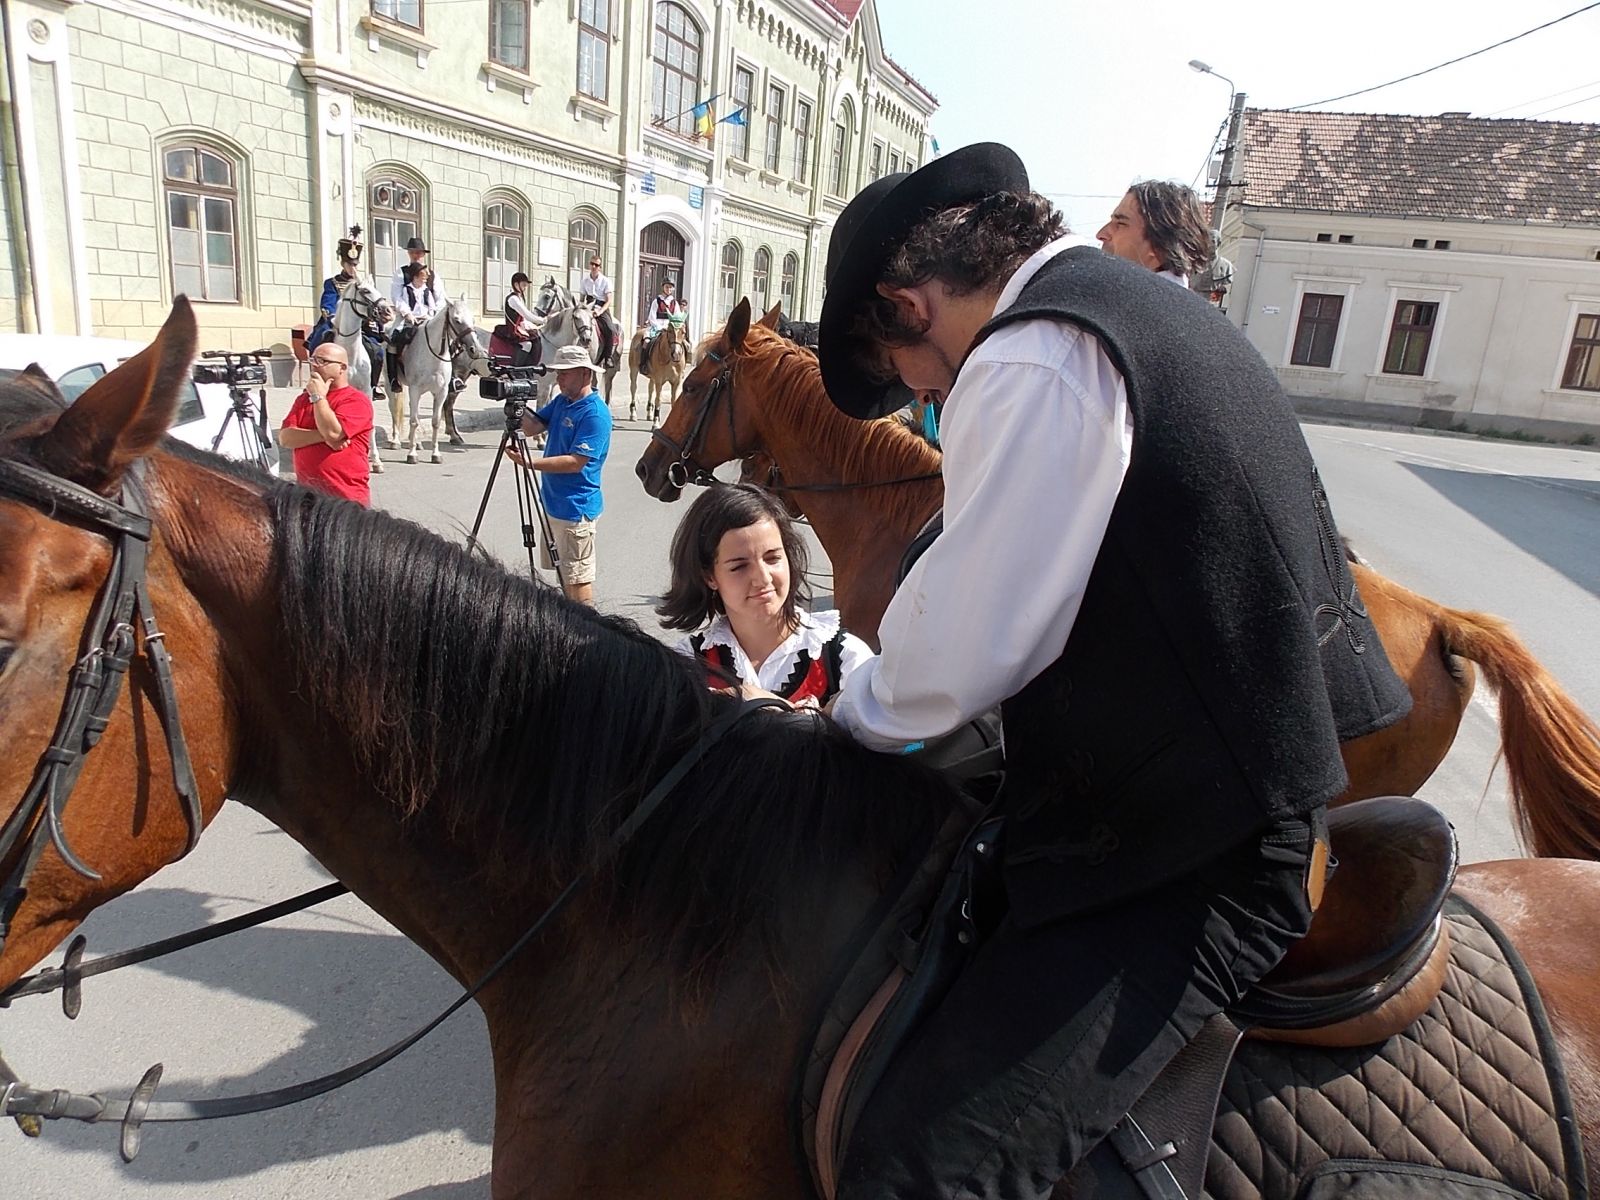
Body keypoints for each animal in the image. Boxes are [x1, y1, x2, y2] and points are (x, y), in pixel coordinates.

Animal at [328, 276, 393, 473]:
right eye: (365, 291)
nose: (388, 312)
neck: (349, 356)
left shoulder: (366, 391)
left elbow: (367, 424)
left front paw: (376, 460)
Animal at [395, 299, 486, 464]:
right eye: (457, 320)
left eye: (473, 319)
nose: (475, 350)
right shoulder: (415, 389)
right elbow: (414, 421)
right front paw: (411, 454)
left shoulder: (441, 391)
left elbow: (435, 421)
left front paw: (435, 454)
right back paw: (396, 441)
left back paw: (417, 442)